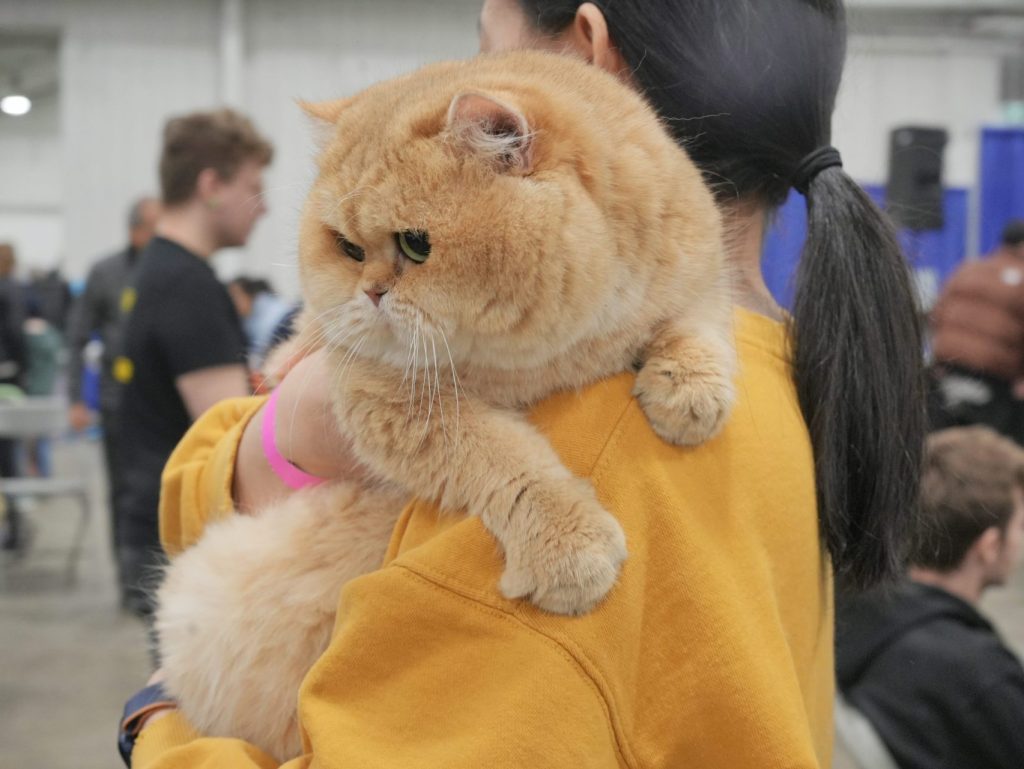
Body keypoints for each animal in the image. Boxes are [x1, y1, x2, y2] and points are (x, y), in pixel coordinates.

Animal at [155, 49, 737, 765]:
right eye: (349, 249)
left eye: (416, 244)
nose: (371, 293)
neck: (561, 348)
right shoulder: (394, 403)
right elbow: (508, 464)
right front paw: (570, 548)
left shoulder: (697, 270)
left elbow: (697, 320)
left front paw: (689, 390)